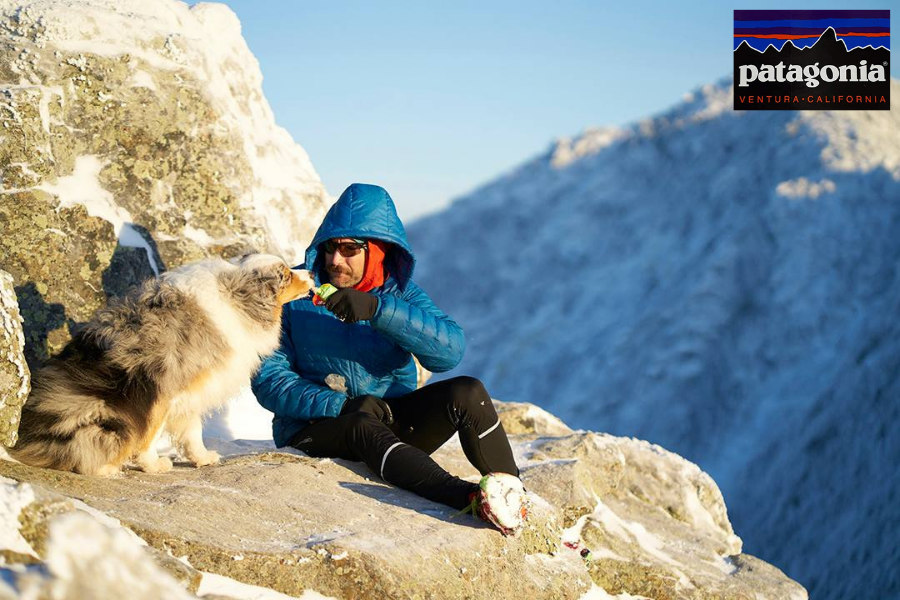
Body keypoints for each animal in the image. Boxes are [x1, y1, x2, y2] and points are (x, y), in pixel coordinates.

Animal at [8, 254, 312, 478]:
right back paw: (106, 467)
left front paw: (202, 458)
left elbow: (192, 430)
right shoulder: (164, 388)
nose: (310, 272)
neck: (234, 295)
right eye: (285, 275)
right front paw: (153, 465)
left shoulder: (194, 386)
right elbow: (151, 434)